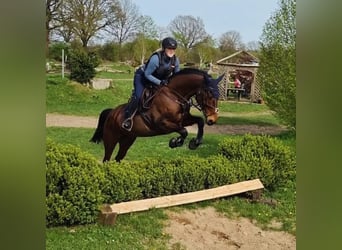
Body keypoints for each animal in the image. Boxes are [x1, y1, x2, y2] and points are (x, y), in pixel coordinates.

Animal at [90, 68, 224, 162]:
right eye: (209, 94)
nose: (212, 119)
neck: (173, 96)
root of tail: (112, 112)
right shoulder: (162, 124)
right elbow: (184, 131)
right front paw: (175, 142)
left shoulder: (183, 120)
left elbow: (199, 121)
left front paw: (194, 143)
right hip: (111, 139)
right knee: (107, 158)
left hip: (127, 140)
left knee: (118, 157)